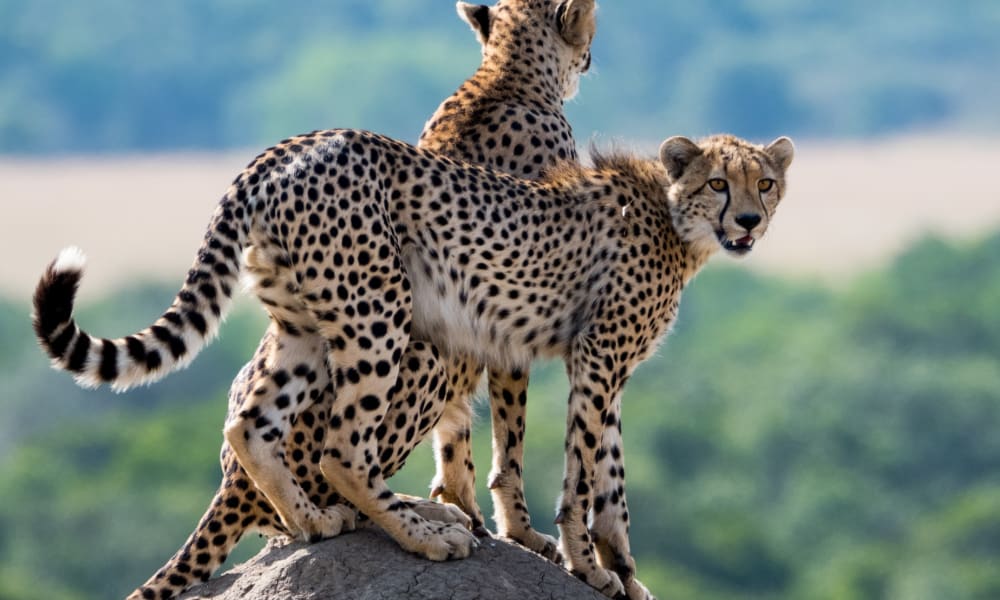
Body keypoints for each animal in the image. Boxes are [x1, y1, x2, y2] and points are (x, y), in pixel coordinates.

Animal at [33, 127, 796, 600]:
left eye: (764, 183)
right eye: (718, 184)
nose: (750, 222)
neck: (672, 219)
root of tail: (283, 150)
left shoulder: (607, 372)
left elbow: (612, 479)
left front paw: (625, 575)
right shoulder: (597, 361)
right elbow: (583, 481)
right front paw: (588, 565)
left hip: (303, 326)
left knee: (251, 424)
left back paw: (317, 523)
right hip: (385, 316)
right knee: (343, 448)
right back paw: (424, 536)